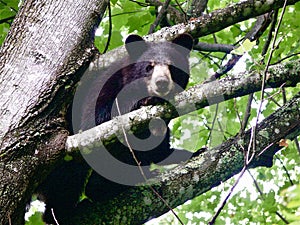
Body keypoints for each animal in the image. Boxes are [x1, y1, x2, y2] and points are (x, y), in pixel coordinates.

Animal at [37, 33, 195, 223]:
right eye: (149, 67)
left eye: (172, 67)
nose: (161, 83)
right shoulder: (103, 90)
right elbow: (98, 121)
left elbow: (156, 148)